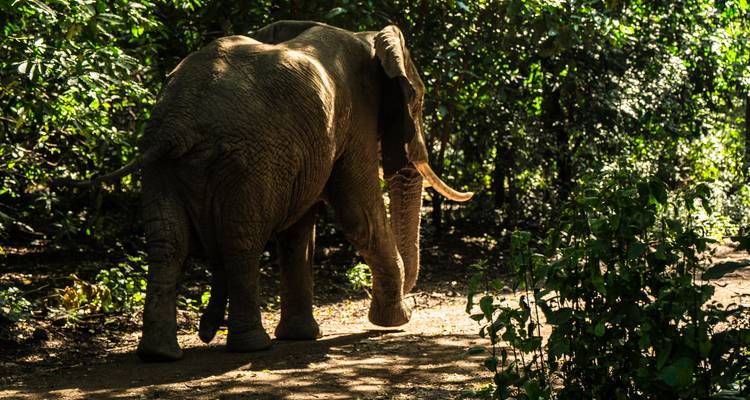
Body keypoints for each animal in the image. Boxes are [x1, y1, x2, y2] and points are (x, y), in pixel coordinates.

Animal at [59, 20, 472, 361]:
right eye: (418, 100)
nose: (415, 301)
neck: (366, 36)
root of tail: (177, 124)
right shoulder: (355, 117)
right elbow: (358, 213)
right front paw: (396, 320)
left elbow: (298, 233)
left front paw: (301, 336)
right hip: (247, 162)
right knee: (241, 241)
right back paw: (250, 346)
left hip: (164, 167)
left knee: (167, 244)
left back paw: (160, 354)